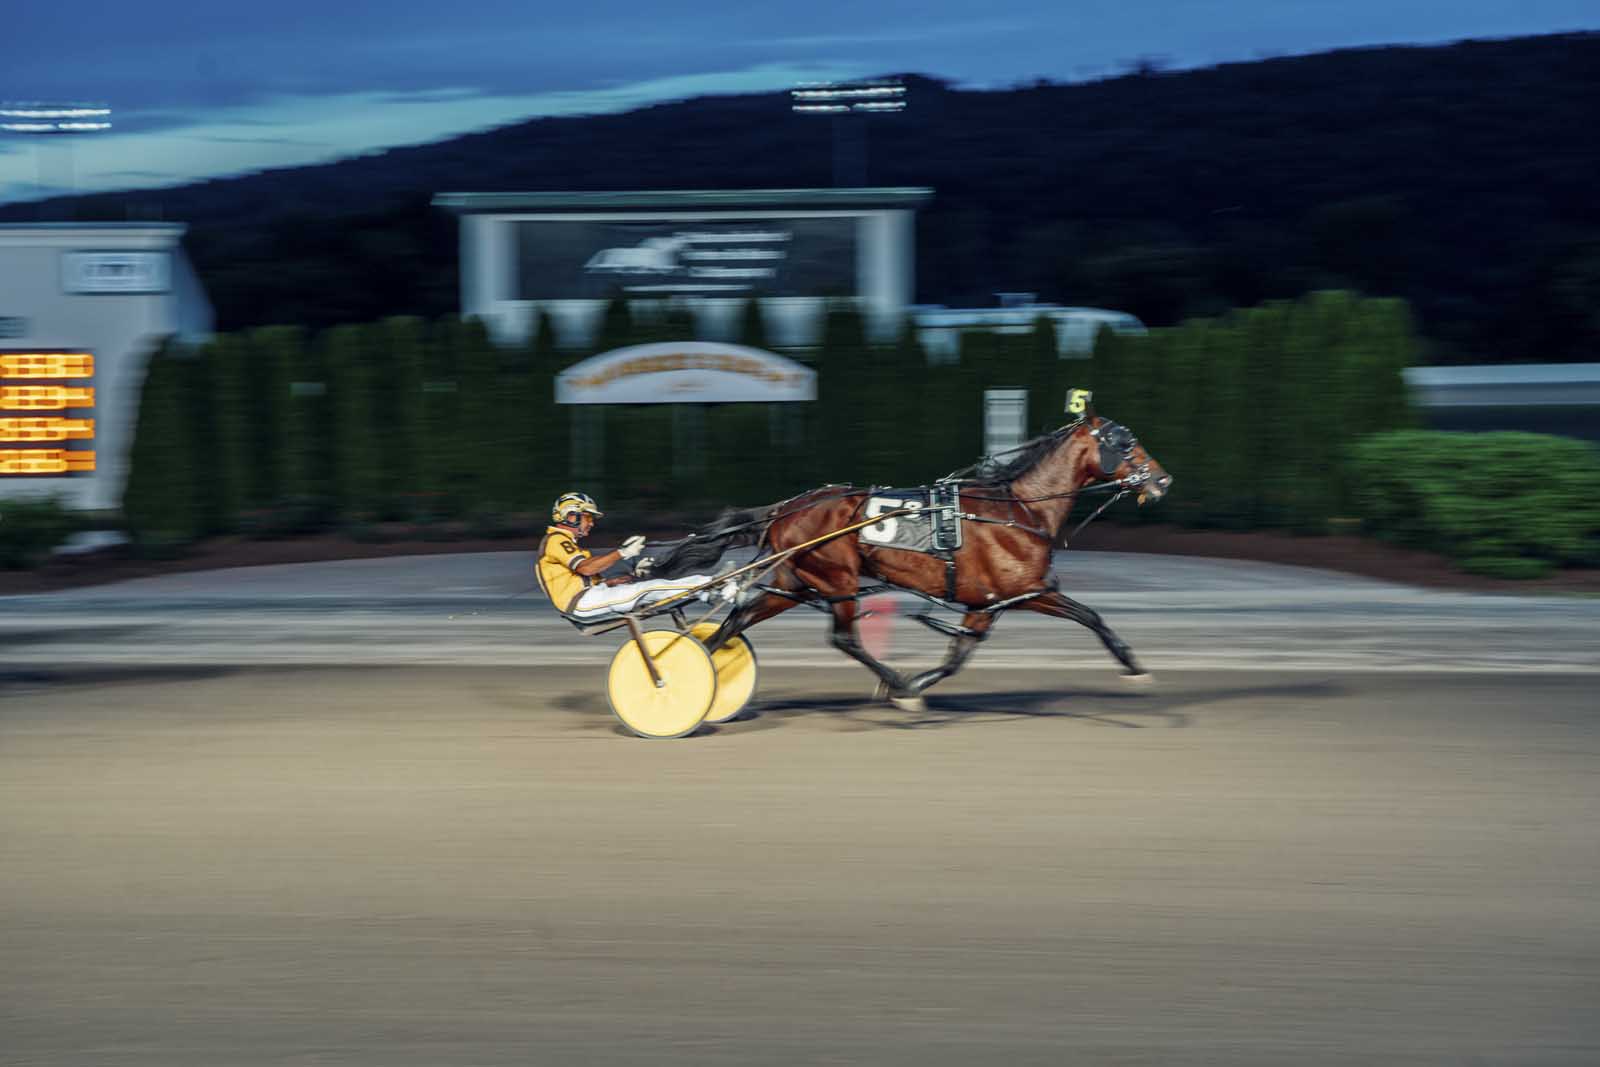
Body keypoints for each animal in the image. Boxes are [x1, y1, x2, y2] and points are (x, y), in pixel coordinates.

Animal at [640, 409, 1177, 710]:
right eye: (1126, 442)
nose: (1163, 479)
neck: (1017, 508)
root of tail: (786, 507)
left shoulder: (984, 605)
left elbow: (958, 656)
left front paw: (918, 685)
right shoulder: (1026, 592)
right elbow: (1091, 616)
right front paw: (1135, 667)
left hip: (796, 583)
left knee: (732, 624)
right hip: (837, 581)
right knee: (842, 637)